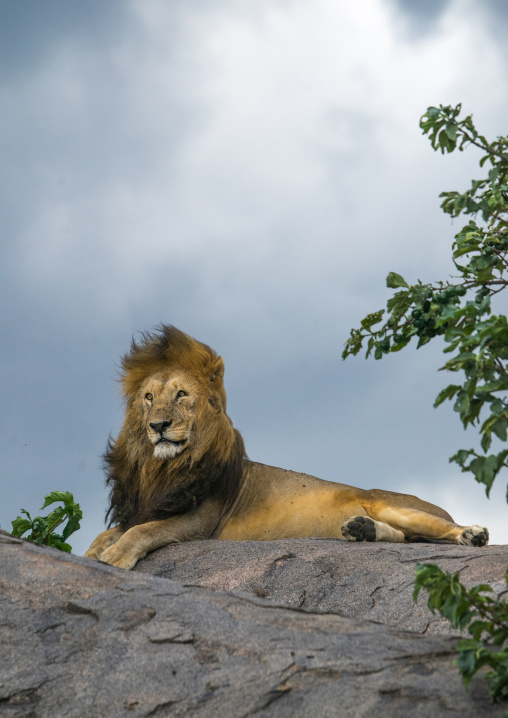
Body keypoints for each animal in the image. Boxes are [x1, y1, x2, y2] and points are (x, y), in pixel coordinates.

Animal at [85, 325, 489, 570]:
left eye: (181, 394)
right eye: (149, 398)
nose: (158, 426)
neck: (162, 468)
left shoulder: (201, 522)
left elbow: (144, 532)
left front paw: (114, 558)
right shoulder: (142, 507)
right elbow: (109, 532)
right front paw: (92, 553)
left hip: (397, 506)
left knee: (438, 530)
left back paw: (472, 533)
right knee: (404, 538)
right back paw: (363, 530)